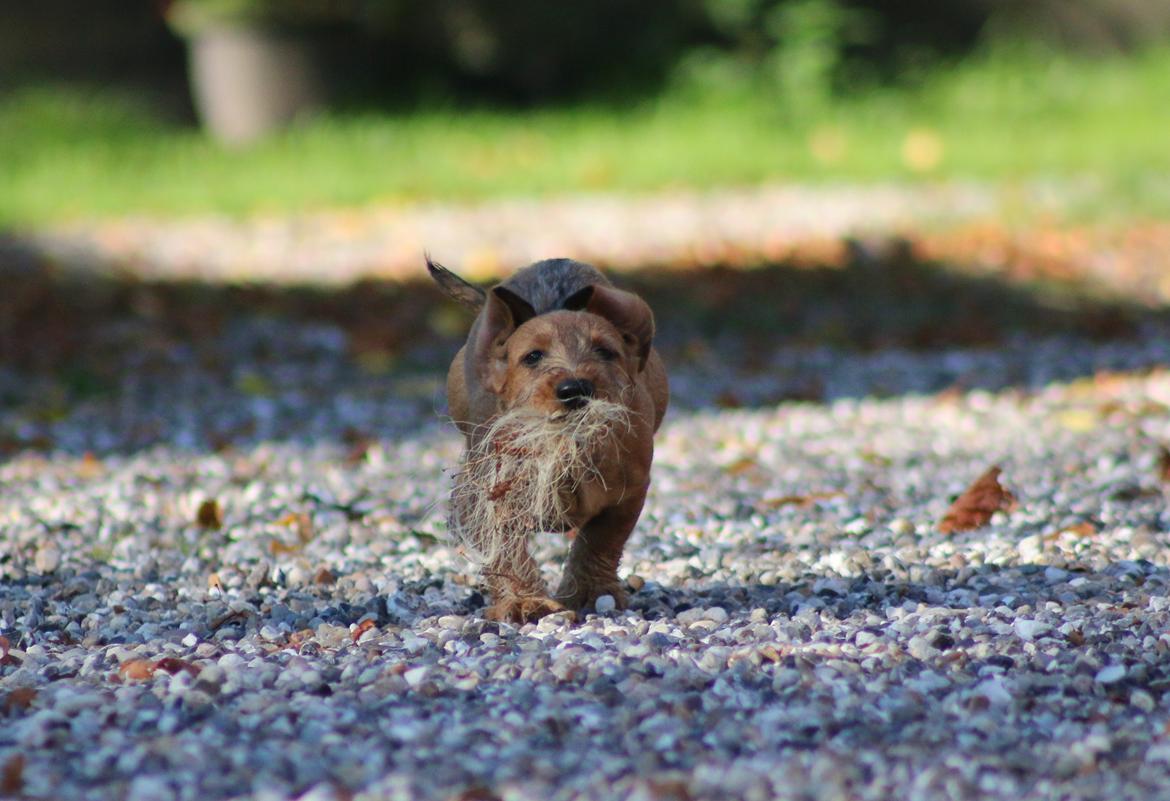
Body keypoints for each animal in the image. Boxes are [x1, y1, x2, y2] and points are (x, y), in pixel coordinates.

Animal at [428, 259, 669, 622]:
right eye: (532, 357)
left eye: (605, 352)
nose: (575, 389)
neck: (565, 452)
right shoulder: (486, 499)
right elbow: (506, 552)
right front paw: (524, 601)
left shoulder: (629, 493)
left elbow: (601, 540)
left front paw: (592, 592)